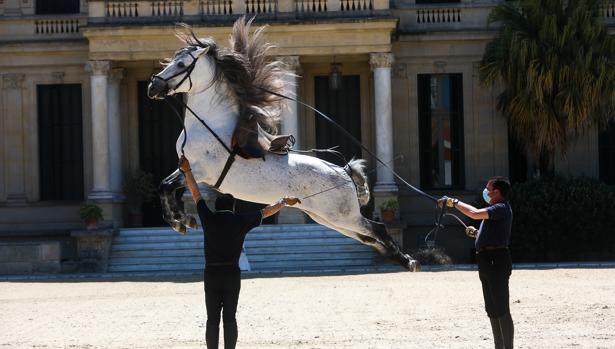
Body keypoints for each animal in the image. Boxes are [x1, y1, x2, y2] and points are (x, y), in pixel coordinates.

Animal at [147, 17, 422, 270]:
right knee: (368, 237)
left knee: (377, 228)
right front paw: (182, 221)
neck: (210, 124)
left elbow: (166, 186)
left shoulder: (202, 171)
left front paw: (180, 221)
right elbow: (164, 186)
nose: (153, 86)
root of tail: (343, 171)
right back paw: (400, 259)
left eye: (181, 64)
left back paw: (408, 261)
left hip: (341, 215)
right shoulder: (187, 168)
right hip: (328, 217)